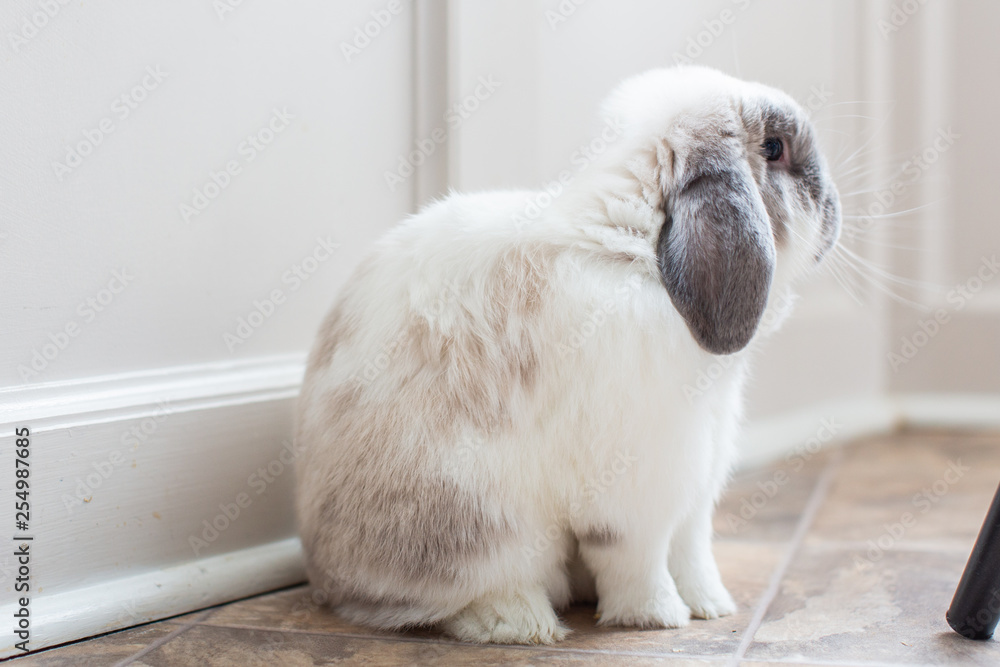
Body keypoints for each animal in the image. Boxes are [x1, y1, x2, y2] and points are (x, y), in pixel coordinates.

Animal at [294, 65, 841, 645]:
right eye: (775, 148)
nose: (833, 207)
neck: (639, 252)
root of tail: (326, 577)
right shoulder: (638, 489)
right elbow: (638, 558)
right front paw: (657, 617)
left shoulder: (696, 479)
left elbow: (691, 550)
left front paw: (712, 606)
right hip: (481, 529)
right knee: (456, 598)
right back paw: (521, 622)